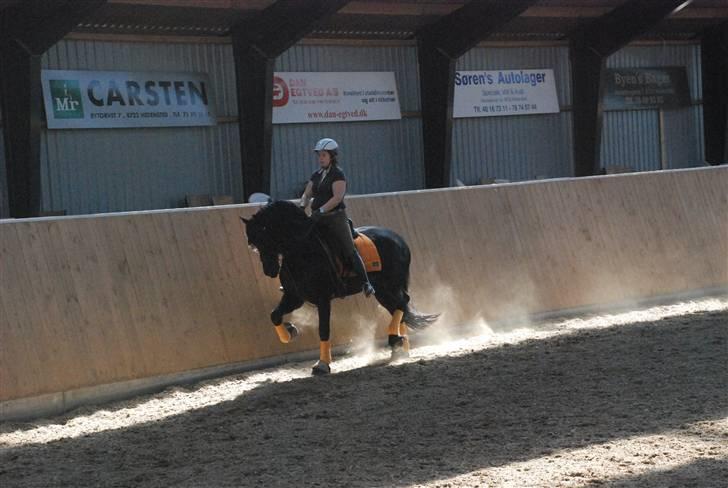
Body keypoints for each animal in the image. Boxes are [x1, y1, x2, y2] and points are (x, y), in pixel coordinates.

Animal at [243, 199, 438, 374]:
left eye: (267, 236)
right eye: (254, 244)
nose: (269, 270)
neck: (303, 251)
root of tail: (398, 238)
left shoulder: (323, 298)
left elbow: (324, 329)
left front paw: (322, 365)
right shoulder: (294, 296)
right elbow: (274, 315)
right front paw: (290, 331)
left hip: (391, 284)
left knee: (403, 302)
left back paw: (396, 342)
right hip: (383, 290)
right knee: (398, 307)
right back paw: (400, 348)